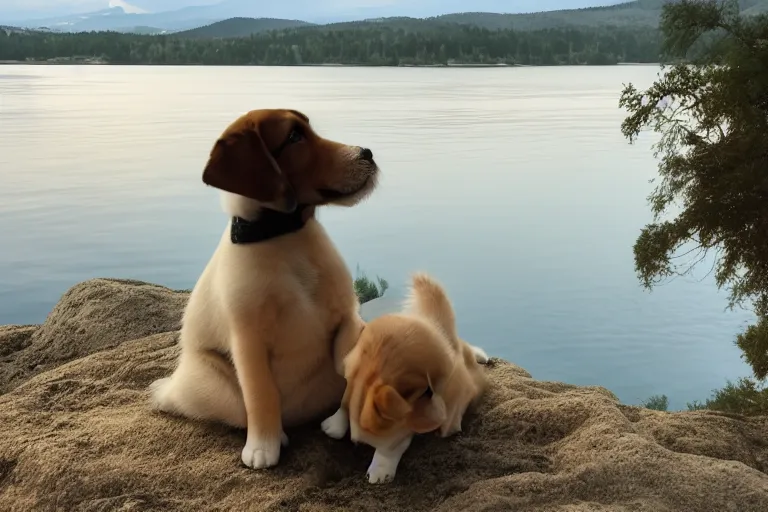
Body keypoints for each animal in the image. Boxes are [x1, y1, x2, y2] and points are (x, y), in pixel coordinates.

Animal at [148, 108, 380, 468]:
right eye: (294, 137)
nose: (367, 153)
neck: (285, 236)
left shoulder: (348, 316)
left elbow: (349, 365)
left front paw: (342, 418)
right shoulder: (247, 340)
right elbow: (261, 394)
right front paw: (263, 446)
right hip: (214, 385)